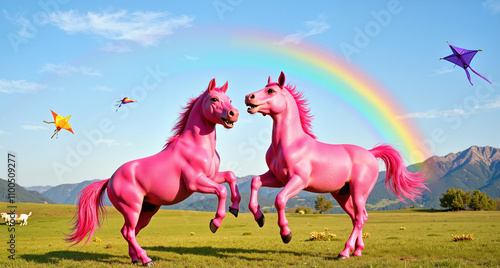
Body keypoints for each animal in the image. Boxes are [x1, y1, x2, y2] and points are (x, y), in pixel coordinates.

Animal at [66, 79, 240, 266]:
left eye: (230, 100)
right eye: (214, 99)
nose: (234, 114)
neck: (195, 146)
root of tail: (110, 180)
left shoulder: (211, 176)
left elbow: (230, 176)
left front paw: (235, 209)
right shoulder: (195, 181)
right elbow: (221, 190)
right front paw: (215, 223)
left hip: (147, 211)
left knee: (132, 231)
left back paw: (136, 259)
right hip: (131, 209)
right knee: (128, 232)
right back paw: (146, 259)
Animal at [244, 71, 428, 260]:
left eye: (271, 91)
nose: (248, 97)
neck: (289, 144)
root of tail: (370, 153)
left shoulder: (299, 180)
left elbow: (280, 199)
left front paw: (286, 234)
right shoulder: (278, 177)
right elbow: (255, 181)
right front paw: (259, 217)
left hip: (359, 191)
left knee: (361, 218)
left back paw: (345, 252)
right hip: (343, 195)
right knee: (356, 217)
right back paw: (357, 251)